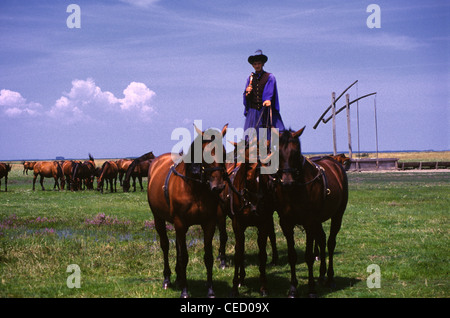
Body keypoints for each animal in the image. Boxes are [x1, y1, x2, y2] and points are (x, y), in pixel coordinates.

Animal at [148, 123, 229, 298]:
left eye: (224, 153)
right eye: (205, 153)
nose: (218, 187)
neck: (194, 188)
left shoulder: (209, 223)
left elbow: (208, 256)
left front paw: (210, 290)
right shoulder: (180, 223)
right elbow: (184, 256)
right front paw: (185, 291)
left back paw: (178, 277)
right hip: (159, 219)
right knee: (165, 246)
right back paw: (167, 279)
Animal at [272, 127, 350, 298]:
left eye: (295, 152)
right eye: (277, 152)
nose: (287, 182)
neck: (296, 189)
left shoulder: (309, 223)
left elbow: (308, 256)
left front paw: (311, 289)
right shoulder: (286, 224)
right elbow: (292, 255)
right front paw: (293, 288)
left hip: (337, 215)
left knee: (330, 243)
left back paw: (330, 278)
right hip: (318, 221)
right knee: (321, 239)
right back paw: (321, 275)